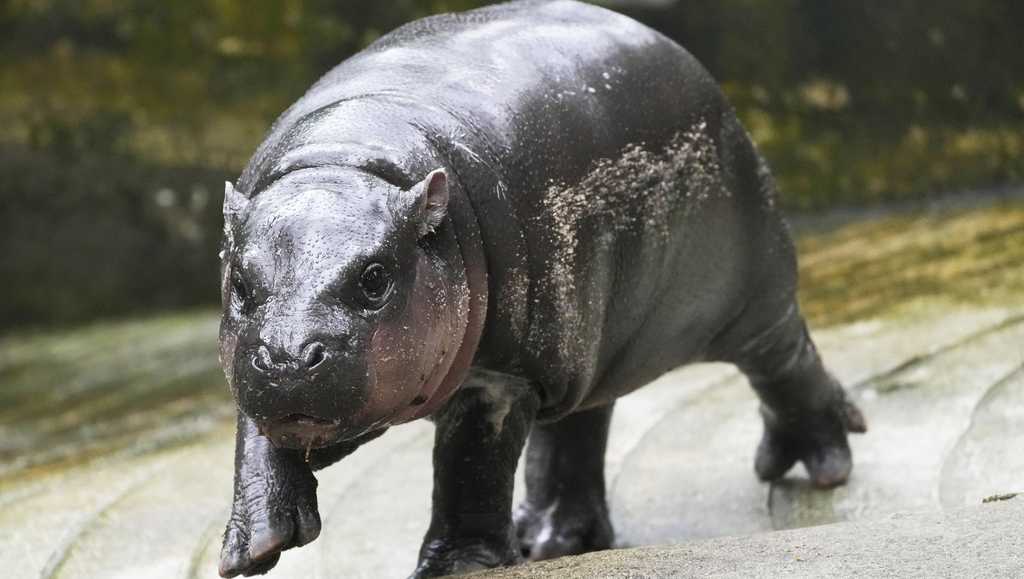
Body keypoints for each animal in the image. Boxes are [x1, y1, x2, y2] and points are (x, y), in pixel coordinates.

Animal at [214, 2, 864, 573]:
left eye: (375, 278)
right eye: (239, 282)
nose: (289, 358)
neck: (347, 161)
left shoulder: (504, 375)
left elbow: (472, 467)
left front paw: (458, 567)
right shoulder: (251, 365)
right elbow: (254, 439)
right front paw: (254, 548)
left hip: (748, 294)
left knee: (784, 360)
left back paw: (819, 464)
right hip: (589, 345)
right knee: (577, 429)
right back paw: (551, 539)